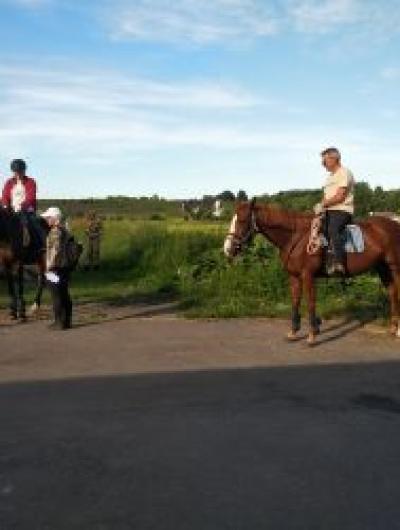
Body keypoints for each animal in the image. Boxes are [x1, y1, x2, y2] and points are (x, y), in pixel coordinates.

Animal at [223, 200, 400, 344]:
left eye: (242, 220)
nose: (227, 249)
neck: (295, 237)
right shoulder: (294, 276)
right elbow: (295, 301)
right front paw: (294, 332)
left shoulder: (307, 275)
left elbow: (310, 302)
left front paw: (312, 335)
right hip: (383, 268)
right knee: (392, 293)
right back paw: (393, 328)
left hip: (394, 267)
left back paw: (397, 331)